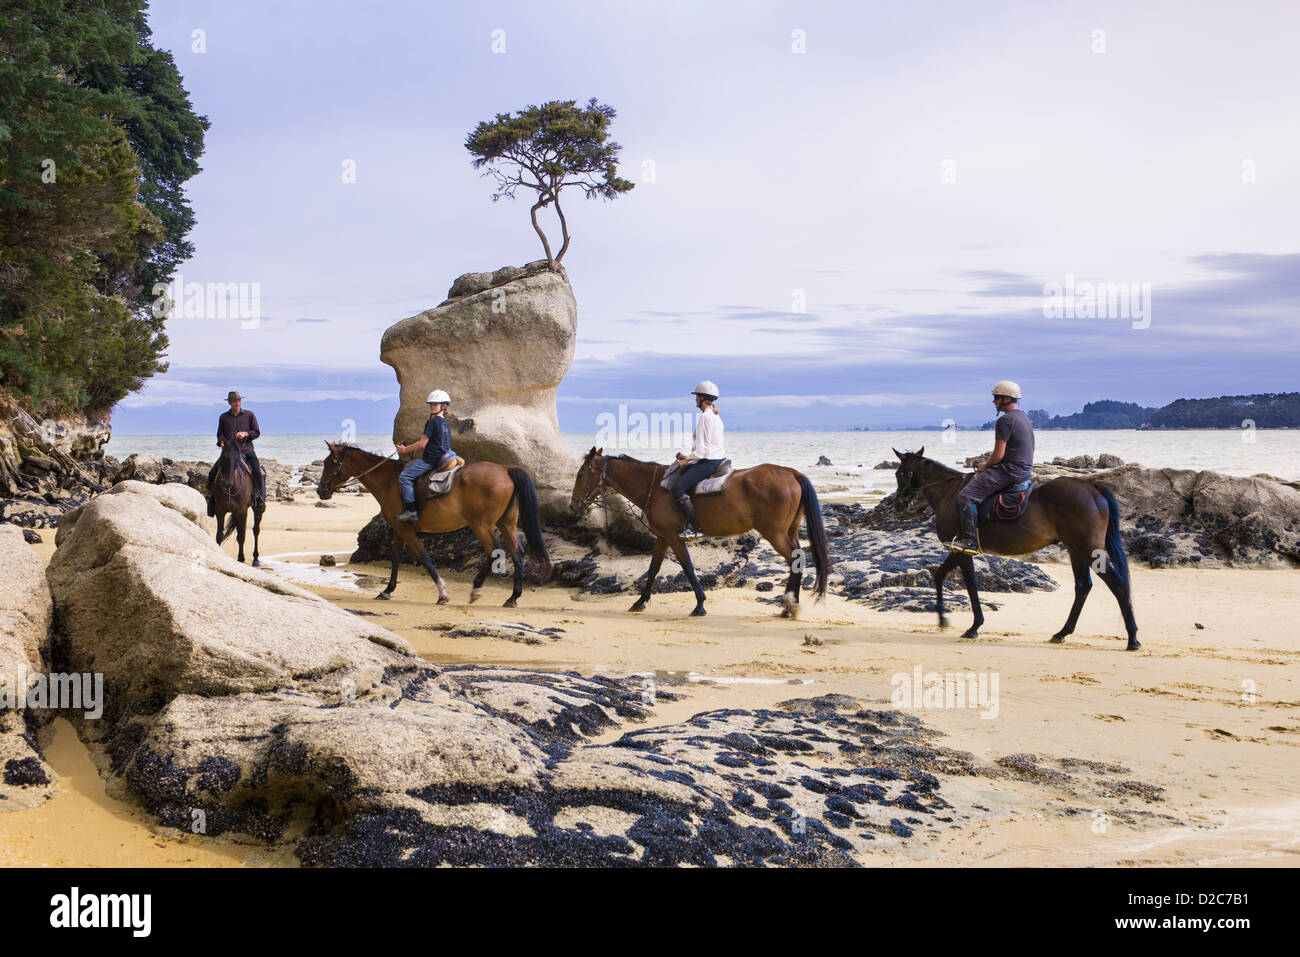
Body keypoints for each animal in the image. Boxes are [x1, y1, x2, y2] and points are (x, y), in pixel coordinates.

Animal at [210, 436, 261, 564]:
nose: (227, 483)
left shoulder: (241, 511)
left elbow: (241, 536)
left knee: (256, 530)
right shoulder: (220, 510)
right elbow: (219, 535)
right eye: (223, 457)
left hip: (256, 509)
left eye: (237, 459)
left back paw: (256, 558)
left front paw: (241, 558)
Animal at [323, 442, 553, 605]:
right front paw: (388, 590)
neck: (389, 481)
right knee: (517, 552)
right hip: (507, 524)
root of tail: (506, 469)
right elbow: (396, 557)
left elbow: (423, 556)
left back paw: (477, 589)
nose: (321, 490)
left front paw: (442, 593)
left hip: (481, 525)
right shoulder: (399, 529)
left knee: (493, 551)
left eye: (331, 462)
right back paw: (513, 597)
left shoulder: (406, 530)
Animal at [572, 449, 832, 621]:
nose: (574, 504)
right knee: (797, 559)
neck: (654, 486)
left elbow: (687, 567)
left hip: (775, 533)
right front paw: (640, 601)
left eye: (582, 474)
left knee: (795, 559)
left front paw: (699, 604)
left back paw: (790, 605)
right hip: (789, 531)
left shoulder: (673, 537)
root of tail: (791, 473)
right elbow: (654, 568)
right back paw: (790, 605)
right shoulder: (663, 537)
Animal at [894, 447, 1138, 650]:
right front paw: (943, 619)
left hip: (1087, 550)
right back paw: (1062, 633)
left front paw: (974, 626)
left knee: (1118, 584)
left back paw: (1132, 638)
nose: (898, 503)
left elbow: (971, 585)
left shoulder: (961, 550)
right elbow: (940, 576)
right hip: (1076, 550)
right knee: (1083, 586)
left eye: (899, 473)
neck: (949, 492)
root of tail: (1092, 487)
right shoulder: (957, 550)